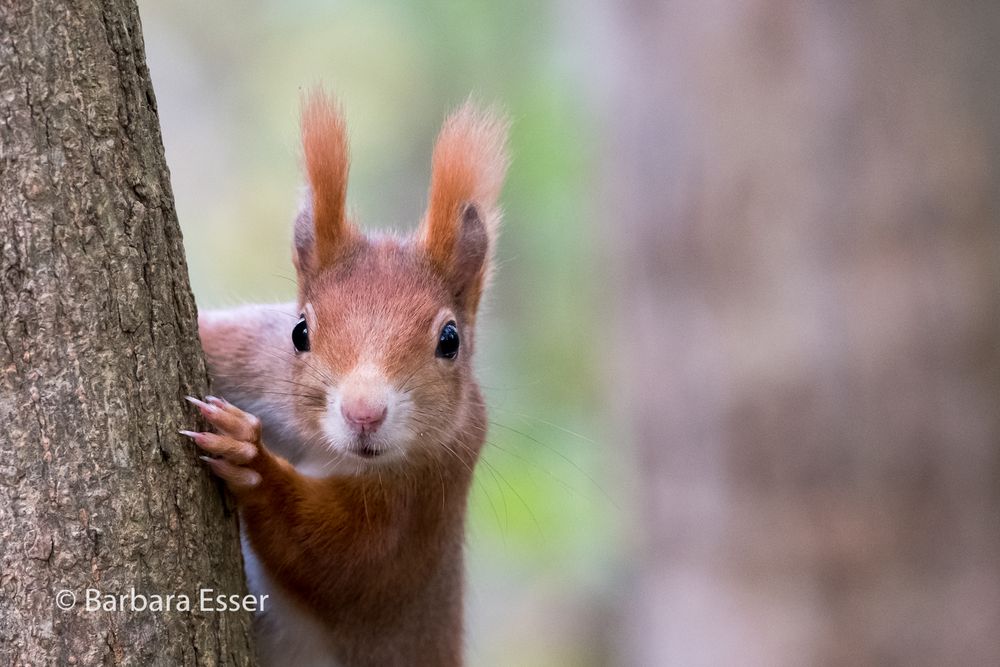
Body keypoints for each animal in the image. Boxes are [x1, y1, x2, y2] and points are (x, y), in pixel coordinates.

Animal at [182, 90, 508, 667]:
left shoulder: (423, 500)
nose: (363, 412)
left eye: (450, 340)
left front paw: (250, 459)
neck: (326, 449)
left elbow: (343, 560)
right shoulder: (253, 357)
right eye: (299, 332)